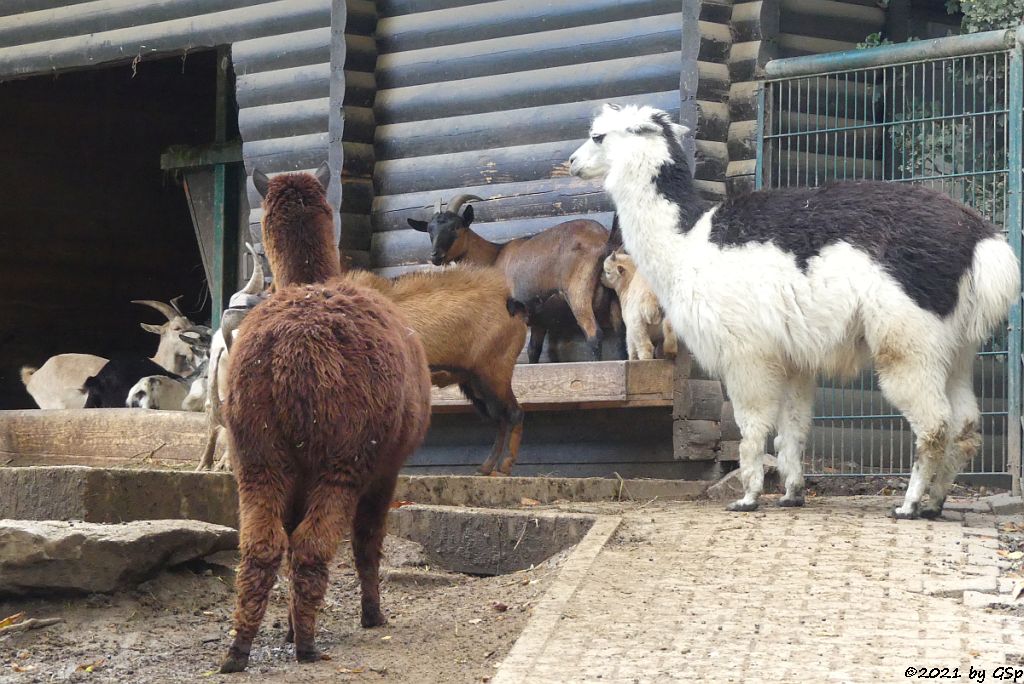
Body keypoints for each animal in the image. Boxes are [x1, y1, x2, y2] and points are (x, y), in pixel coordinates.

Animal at [220, 165, 432, 671]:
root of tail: (293, 352)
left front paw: (287, 625)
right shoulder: (386, 470)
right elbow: (368, 543)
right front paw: (373, 615)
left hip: (257, 453)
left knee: (262, 546)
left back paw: (240, 649)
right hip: (345, 452)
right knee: (314, 545)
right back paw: (308, 645)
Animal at [407, 194, 610, 360]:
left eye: (456, 227)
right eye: (429, 230)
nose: (436, 256)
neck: (494, 256)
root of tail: (603, 236)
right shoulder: (540, 318)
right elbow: (533, 351)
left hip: (578, 287)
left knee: (594, 334)